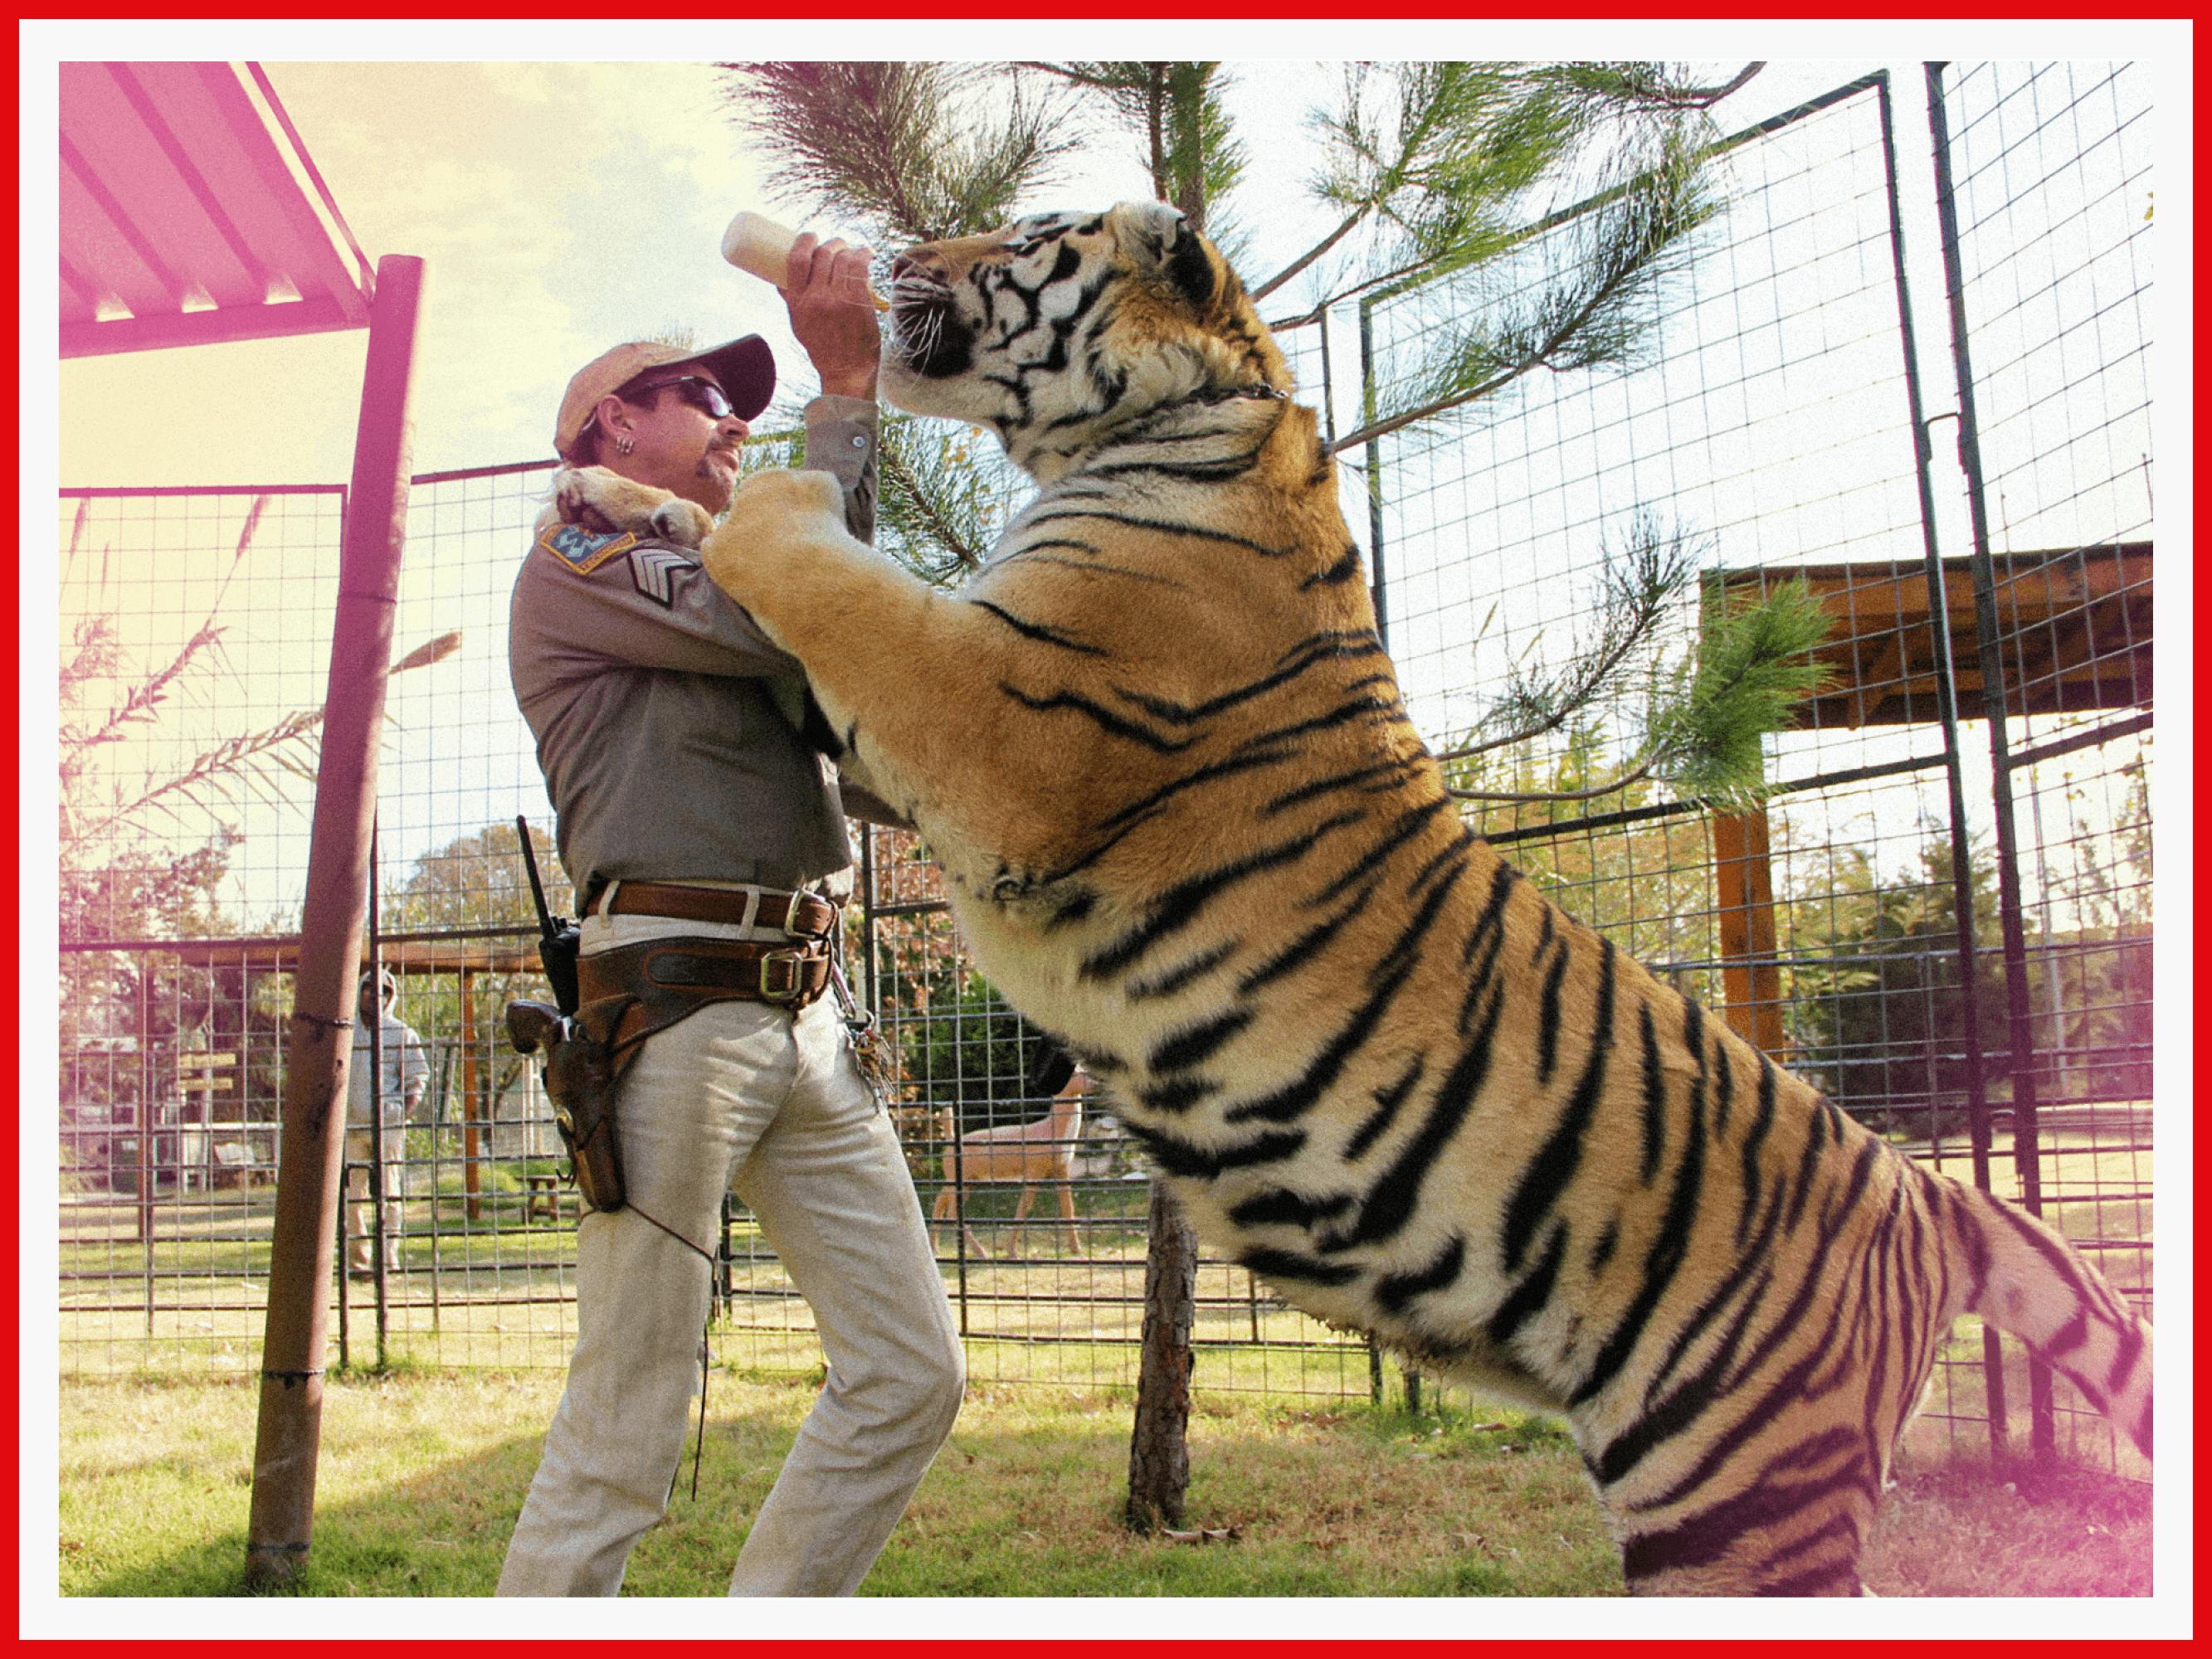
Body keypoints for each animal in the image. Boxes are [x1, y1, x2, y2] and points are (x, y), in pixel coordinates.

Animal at [557, 204, 2159, 1601]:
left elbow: (817, 567)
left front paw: (743, 490)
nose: (888, 250)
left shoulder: (990, 720)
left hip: (1734, 1488)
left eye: (1018, 234)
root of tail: (1920, 1190)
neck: (1158, 423)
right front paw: (610, 493)